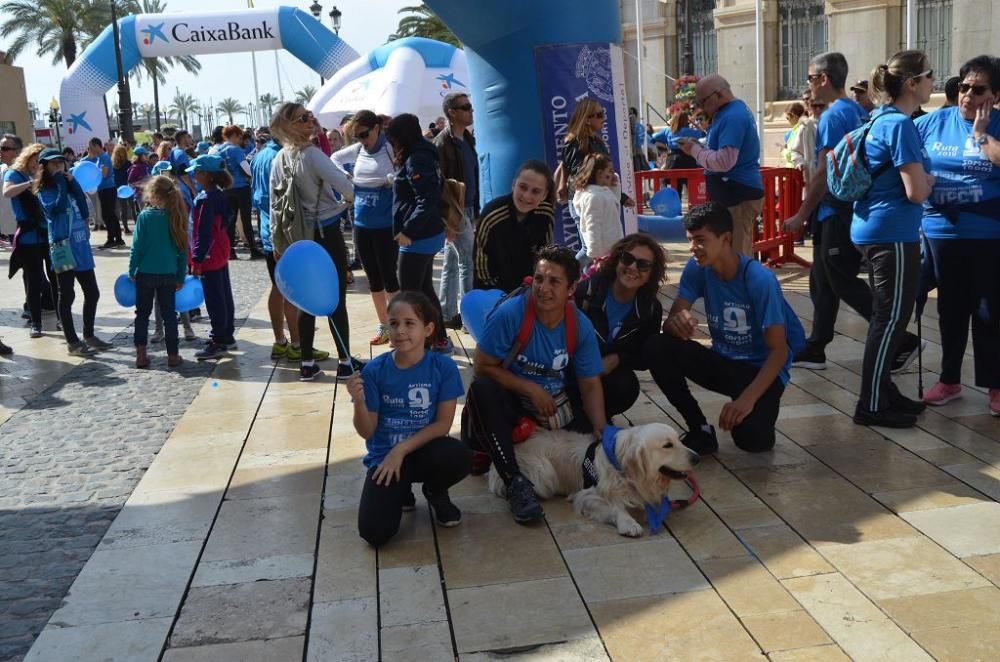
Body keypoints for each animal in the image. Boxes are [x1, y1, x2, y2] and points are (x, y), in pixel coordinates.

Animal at [490, 426, 696, 540]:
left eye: (679, 439)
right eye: (667, 445)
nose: (697, 457)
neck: (625, 472)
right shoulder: (587, 495)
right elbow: (615, 507)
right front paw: (628, 523)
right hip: (543, 473)